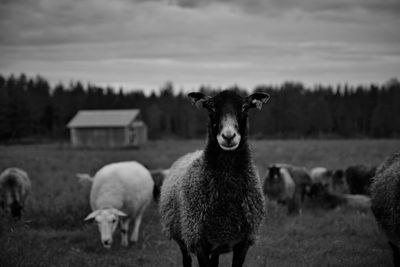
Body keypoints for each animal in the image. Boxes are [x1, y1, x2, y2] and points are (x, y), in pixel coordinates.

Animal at [158, 91, 268, 267]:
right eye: (211, 107)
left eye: (245, 107)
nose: (228, 136)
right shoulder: (199, 241)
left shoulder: (243, 243)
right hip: (182, 235)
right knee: (186, 259)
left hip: (216, 244)